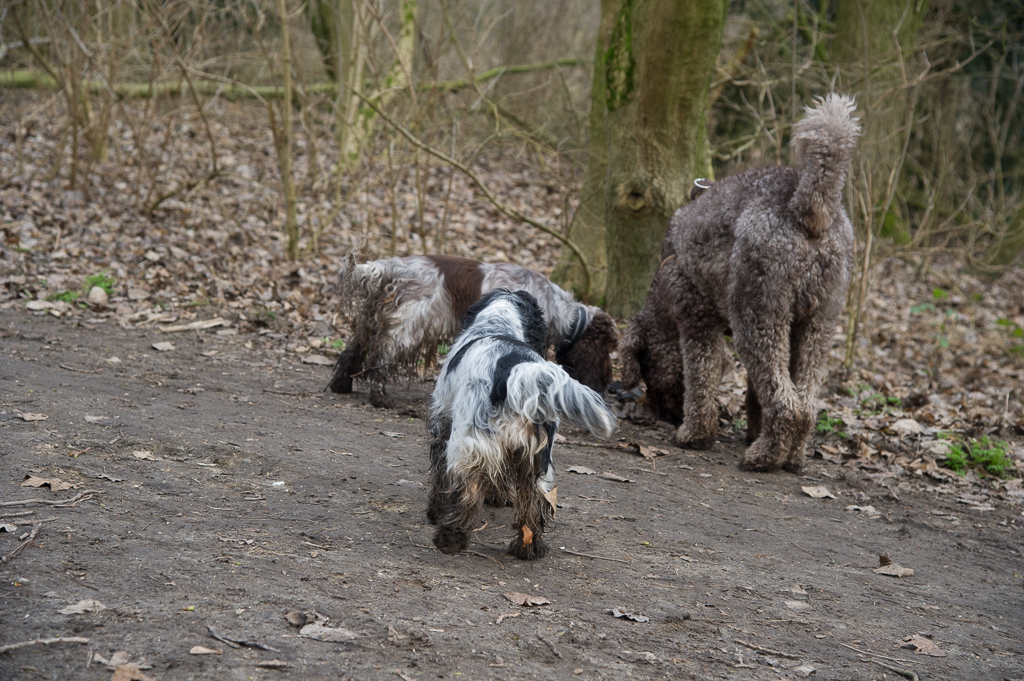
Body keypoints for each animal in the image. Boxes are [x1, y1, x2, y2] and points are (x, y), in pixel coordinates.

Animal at [327, 255, 618, 408]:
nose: (605, 386)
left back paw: (341, 385)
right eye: (607, 349)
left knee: (353, 350)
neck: (558, 307)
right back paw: (380, 398)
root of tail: (389, 267)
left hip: (371, 321)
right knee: (381, 357)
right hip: (406, 327)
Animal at [426, 288, 617, 559]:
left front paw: (435, 510)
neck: (497, 325)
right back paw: (528, 548)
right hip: (536, 463)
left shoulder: (442, 420)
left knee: (467, 491)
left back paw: (450, 539)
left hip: (468, 443)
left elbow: (440, 473)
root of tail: (517, 373)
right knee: (533, 504)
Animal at [620, 94, 860, 473]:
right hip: (817, 323)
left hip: (758, 316)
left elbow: (702, 381)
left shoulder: (697, 321)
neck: (660, 295)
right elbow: (752, 394)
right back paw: (791, 457)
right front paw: (752, 432)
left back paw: (764, 457)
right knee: (804, 403)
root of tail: (806, 207)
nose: (665, 416)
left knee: (786, 405)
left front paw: (696, 434)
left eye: (649, 375)